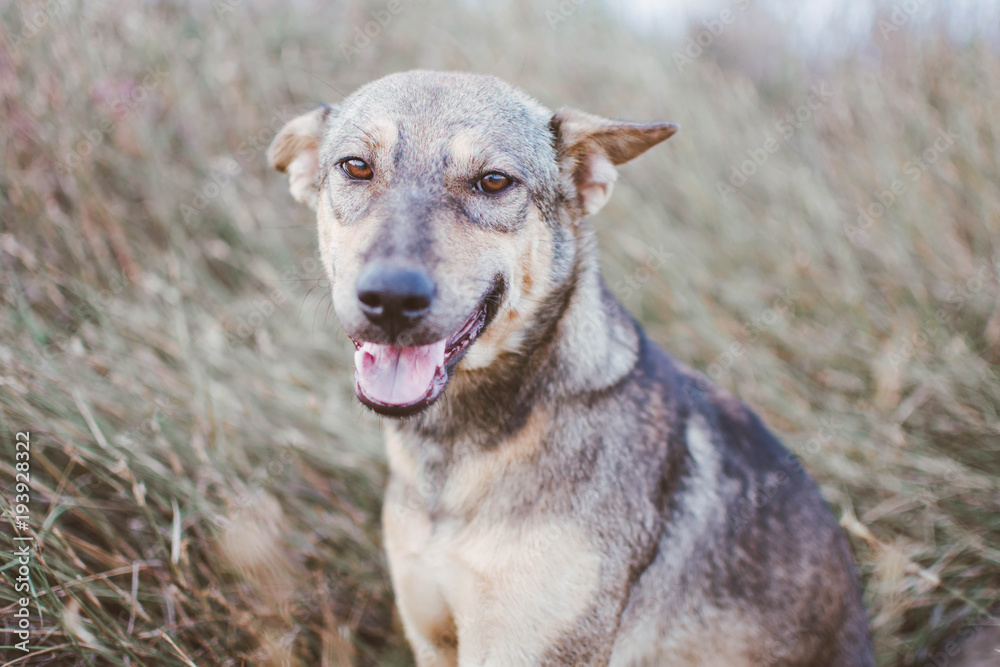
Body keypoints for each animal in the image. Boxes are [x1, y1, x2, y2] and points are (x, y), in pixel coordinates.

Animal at [268, 72, 876, 667]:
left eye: (493, 181)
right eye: (356, 167)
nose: (391, 298)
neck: (460, 452)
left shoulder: (529, 645)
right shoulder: (431, 633)